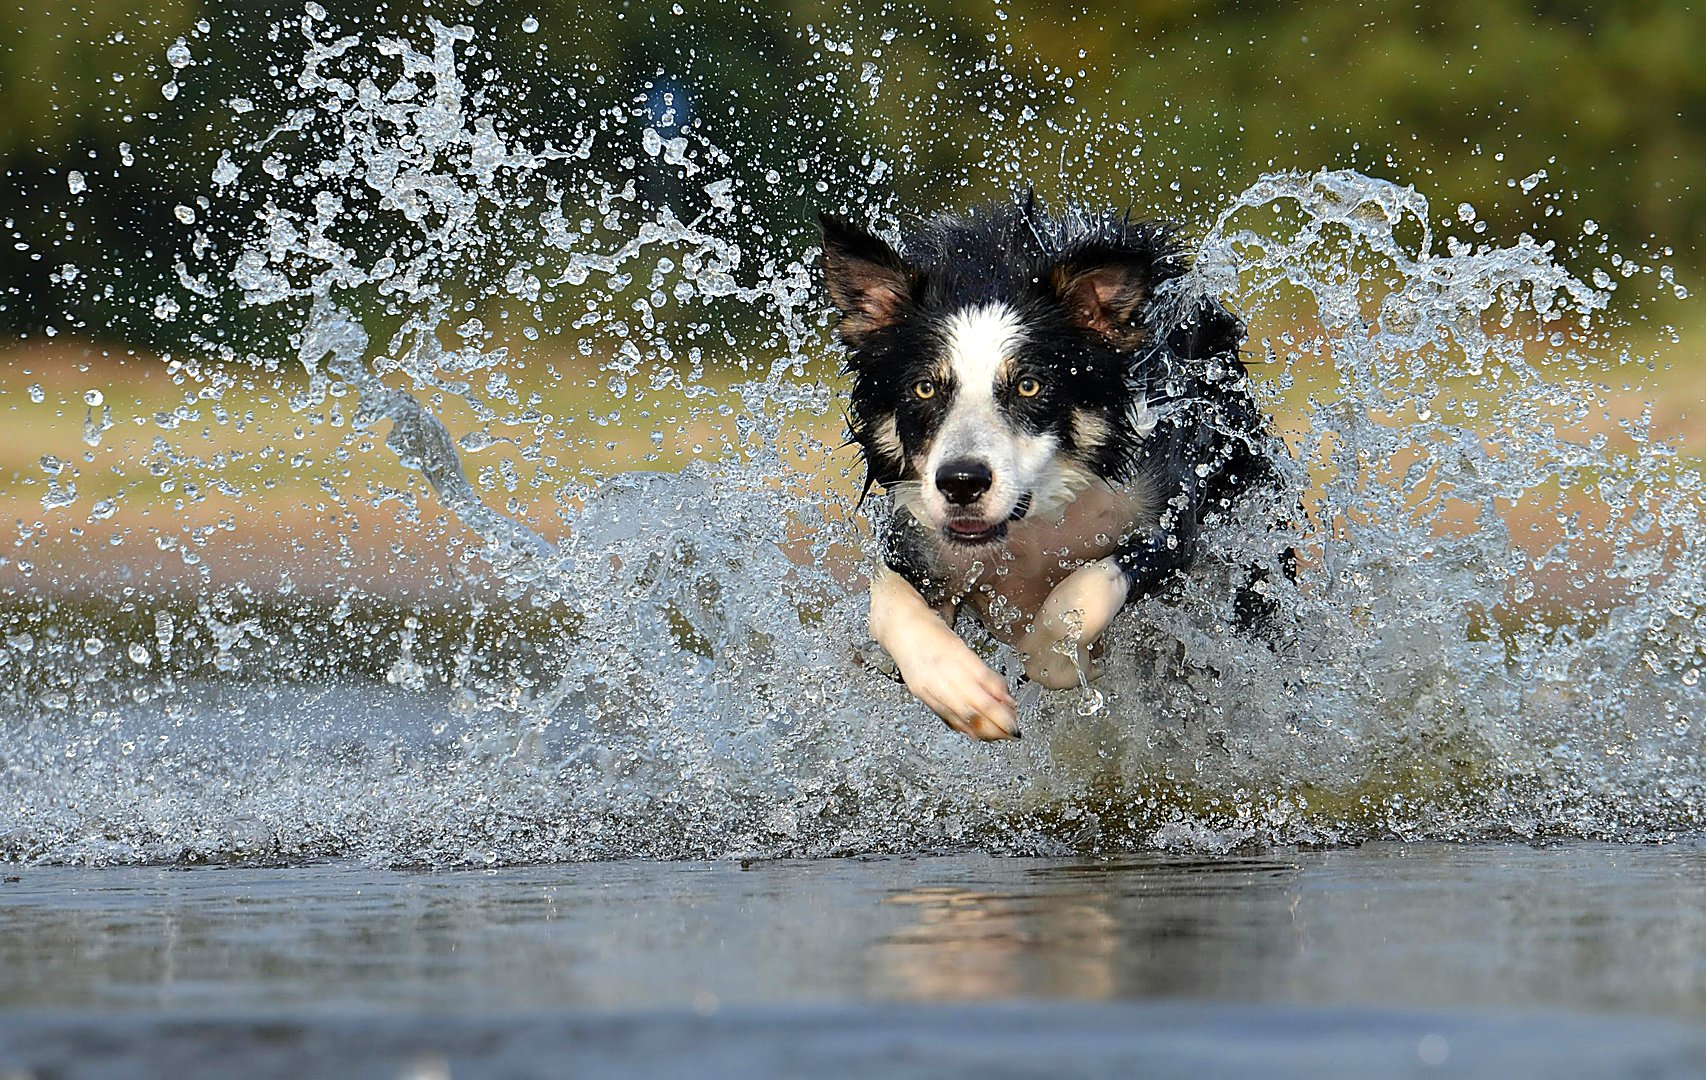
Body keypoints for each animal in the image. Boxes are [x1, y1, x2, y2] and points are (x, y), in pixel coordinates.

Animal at [822, 197, 1282, 740]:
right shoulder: (915, 536)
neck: (1035, 522)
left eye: (1029, 386)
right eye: (925, 388)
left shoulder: (1167, 518)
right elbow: (888, 599)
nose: (962, 483)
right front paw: (961, 690)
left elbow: (1076, 597)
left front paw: (1062, 659)